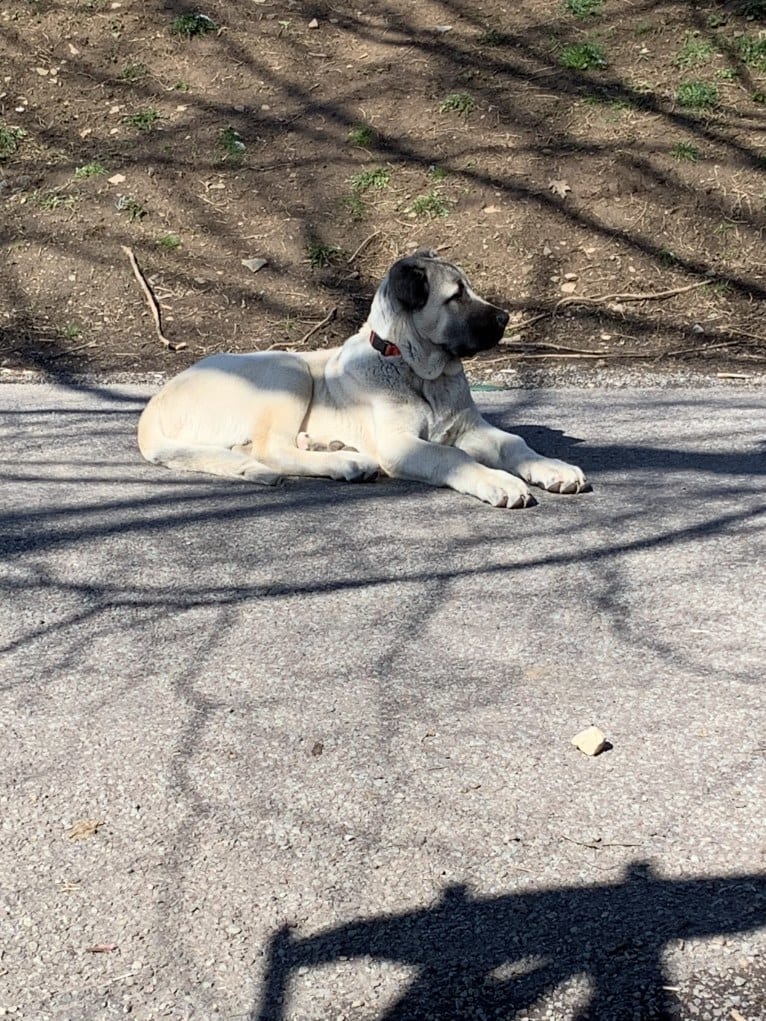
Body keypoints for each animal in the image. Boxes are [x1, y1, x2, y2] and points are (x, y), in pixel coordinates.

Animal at [137, 251, 588, 506]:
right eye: (456, 296)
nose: (505, 318)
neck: (419, 372)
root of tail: (154, 405)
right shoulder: (399, 445)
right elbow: (453, 457)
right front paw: (498, 482)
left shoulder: (469, 428)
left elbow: (514, 442)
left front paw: (552, 467)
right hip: (287, 368)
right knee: (269, 449)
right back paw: (346, 462)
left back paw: (327, 444)